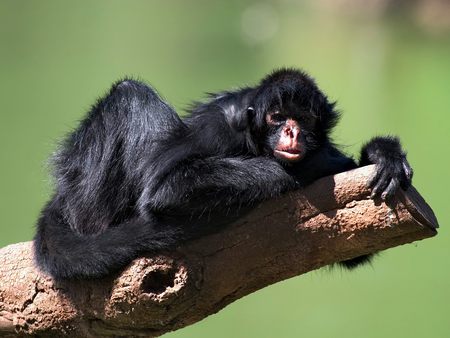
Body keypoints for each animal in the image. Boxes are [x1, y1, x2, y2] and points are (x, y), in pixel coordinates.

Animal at [32, 67, 412, 278]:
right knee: (130, 93)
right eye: (277, 117)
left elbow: (354, 251)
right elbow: (166, 188)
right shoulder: (220, 126)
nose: (292, 132)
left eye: (303, 119)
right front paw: (314, 165)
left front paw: (383, 153)